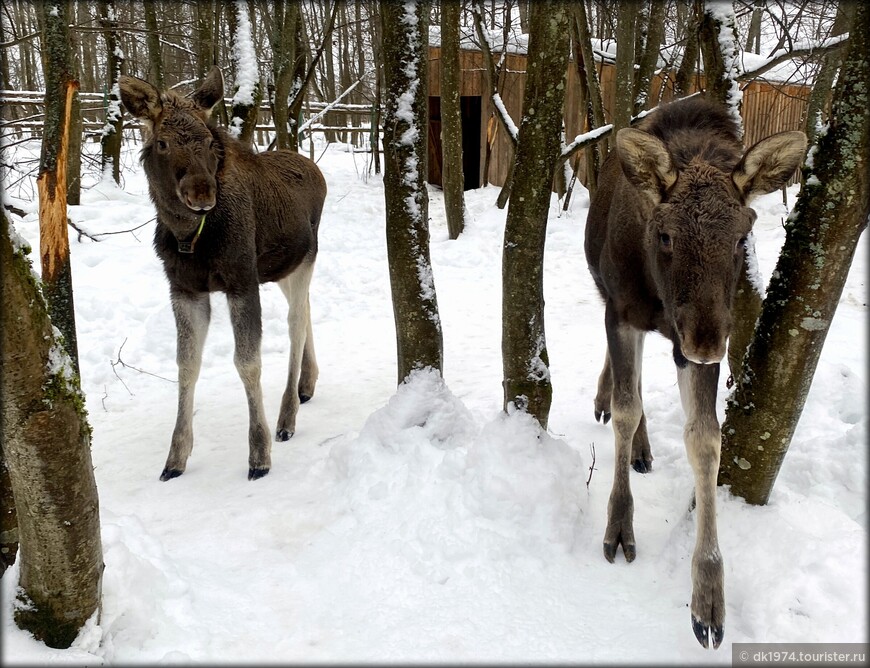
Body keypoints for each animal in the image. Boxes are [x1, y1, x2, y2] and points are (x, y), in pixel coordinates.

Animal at [119, 68, 328, 480]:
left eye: (207, 140)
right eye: (163, 142)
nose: (202, 193)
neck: (191, 237)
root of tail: (315, 169)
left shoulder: (241, 280)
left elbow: (247, 362)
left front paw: (259, 455)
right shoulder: (184, 288)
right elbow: (186, 365)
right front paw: (175, 458)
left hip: (305, 259)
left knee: (296, 322)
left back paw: (286, 417)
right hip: (282, 269)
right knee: (307, 311)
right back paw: (307, 384)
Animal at [584, 96, 804, 648]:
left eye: (743, 235)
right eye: (664, 233)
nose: (706, 342)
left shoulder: (699, 339)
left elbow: (706, 439)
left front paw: (707, 598)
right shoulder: (620, 311)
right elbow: (626, 408)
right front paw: (618, 527)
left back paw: (642, 448)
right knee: (629, 384)